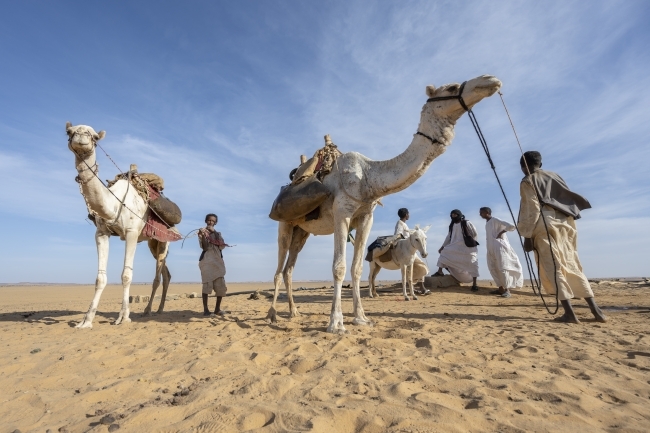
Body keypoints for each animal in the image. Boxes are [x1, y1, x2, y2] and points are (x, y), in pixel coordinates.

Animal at [67, 122, 172, 328]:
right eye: (69, 131)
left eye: (95, 137)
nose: (81, 136)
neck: (113, 204)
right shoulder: (101, 233)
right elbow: (100, 277)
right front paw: (86, 320)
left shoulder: (131, 233)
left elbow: (126, 275)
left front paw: (123, 317)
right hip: (152, 242)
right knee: (166, 273)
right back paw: (159, 309)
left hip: (163, 239)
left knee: (158, 275)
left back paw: (148, 310)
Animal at [268, 74, 502, 332]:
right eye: (451, 87)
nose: (489, 80)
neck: (368, 176)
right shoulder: (342, 212)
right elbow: (339, 267)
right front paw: (336, 323)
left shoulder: (366, 216)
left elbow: (357, 268)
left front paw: (361, 318)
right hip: (285, 224)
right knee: (279, 268)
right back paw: (272, 315)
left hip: (303, 231)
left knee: (289, 269)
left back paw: (293, 311)